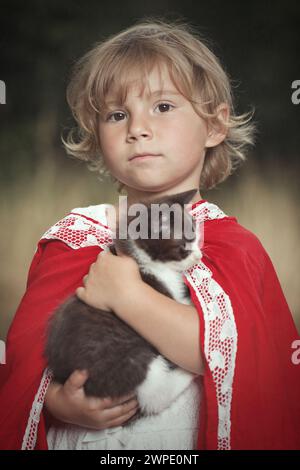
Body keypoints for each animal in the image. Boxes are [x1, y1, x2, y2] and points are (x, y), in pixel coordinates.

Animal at [45, 189, 202, 420]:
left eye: (197, 237)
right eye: (183, 246)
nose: (199, 255)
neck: (144, 261)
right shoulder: (161, 291)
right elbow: (180, 302)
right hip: (128, 361)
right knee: (155, 397)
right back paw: (187, 374)